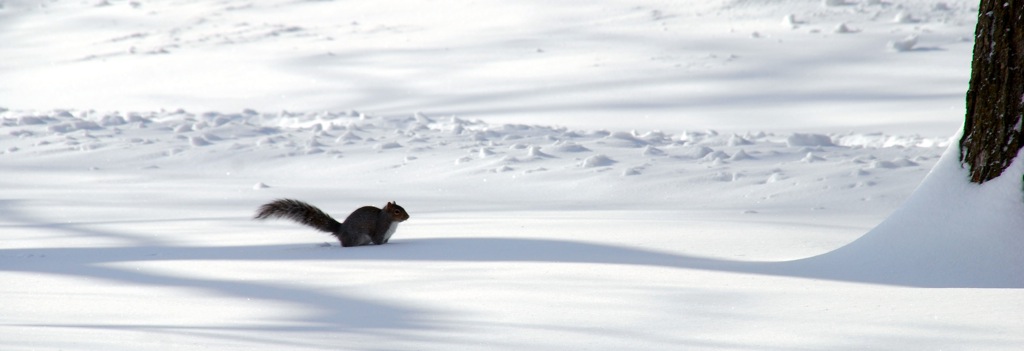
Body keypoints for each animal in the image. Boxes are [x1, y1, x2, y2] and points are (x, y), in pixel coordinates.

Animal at [253, 198, 409, 247]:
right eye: (397, 211)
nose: (407, 217)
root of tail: (341, 231)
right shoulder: (380, 230)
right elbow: (378, 241)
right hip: (355, 237)